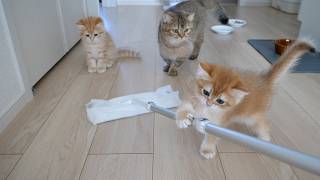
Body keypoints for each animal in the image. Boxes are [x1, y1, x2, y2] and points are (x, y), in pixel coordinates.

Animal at [176, 39, 316, 159]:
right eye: (206, 92)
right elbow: (183, 107)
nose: (208, 103)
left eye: (220, 101)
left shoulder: (219, 123)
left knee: (264, 125)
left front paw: (207, 150)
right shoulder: (193, 98)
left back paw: (264, 140)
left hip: (253, 117)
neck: (206, 110)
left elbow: (211, 136)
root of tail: (265, 79)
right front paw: (182, 119)